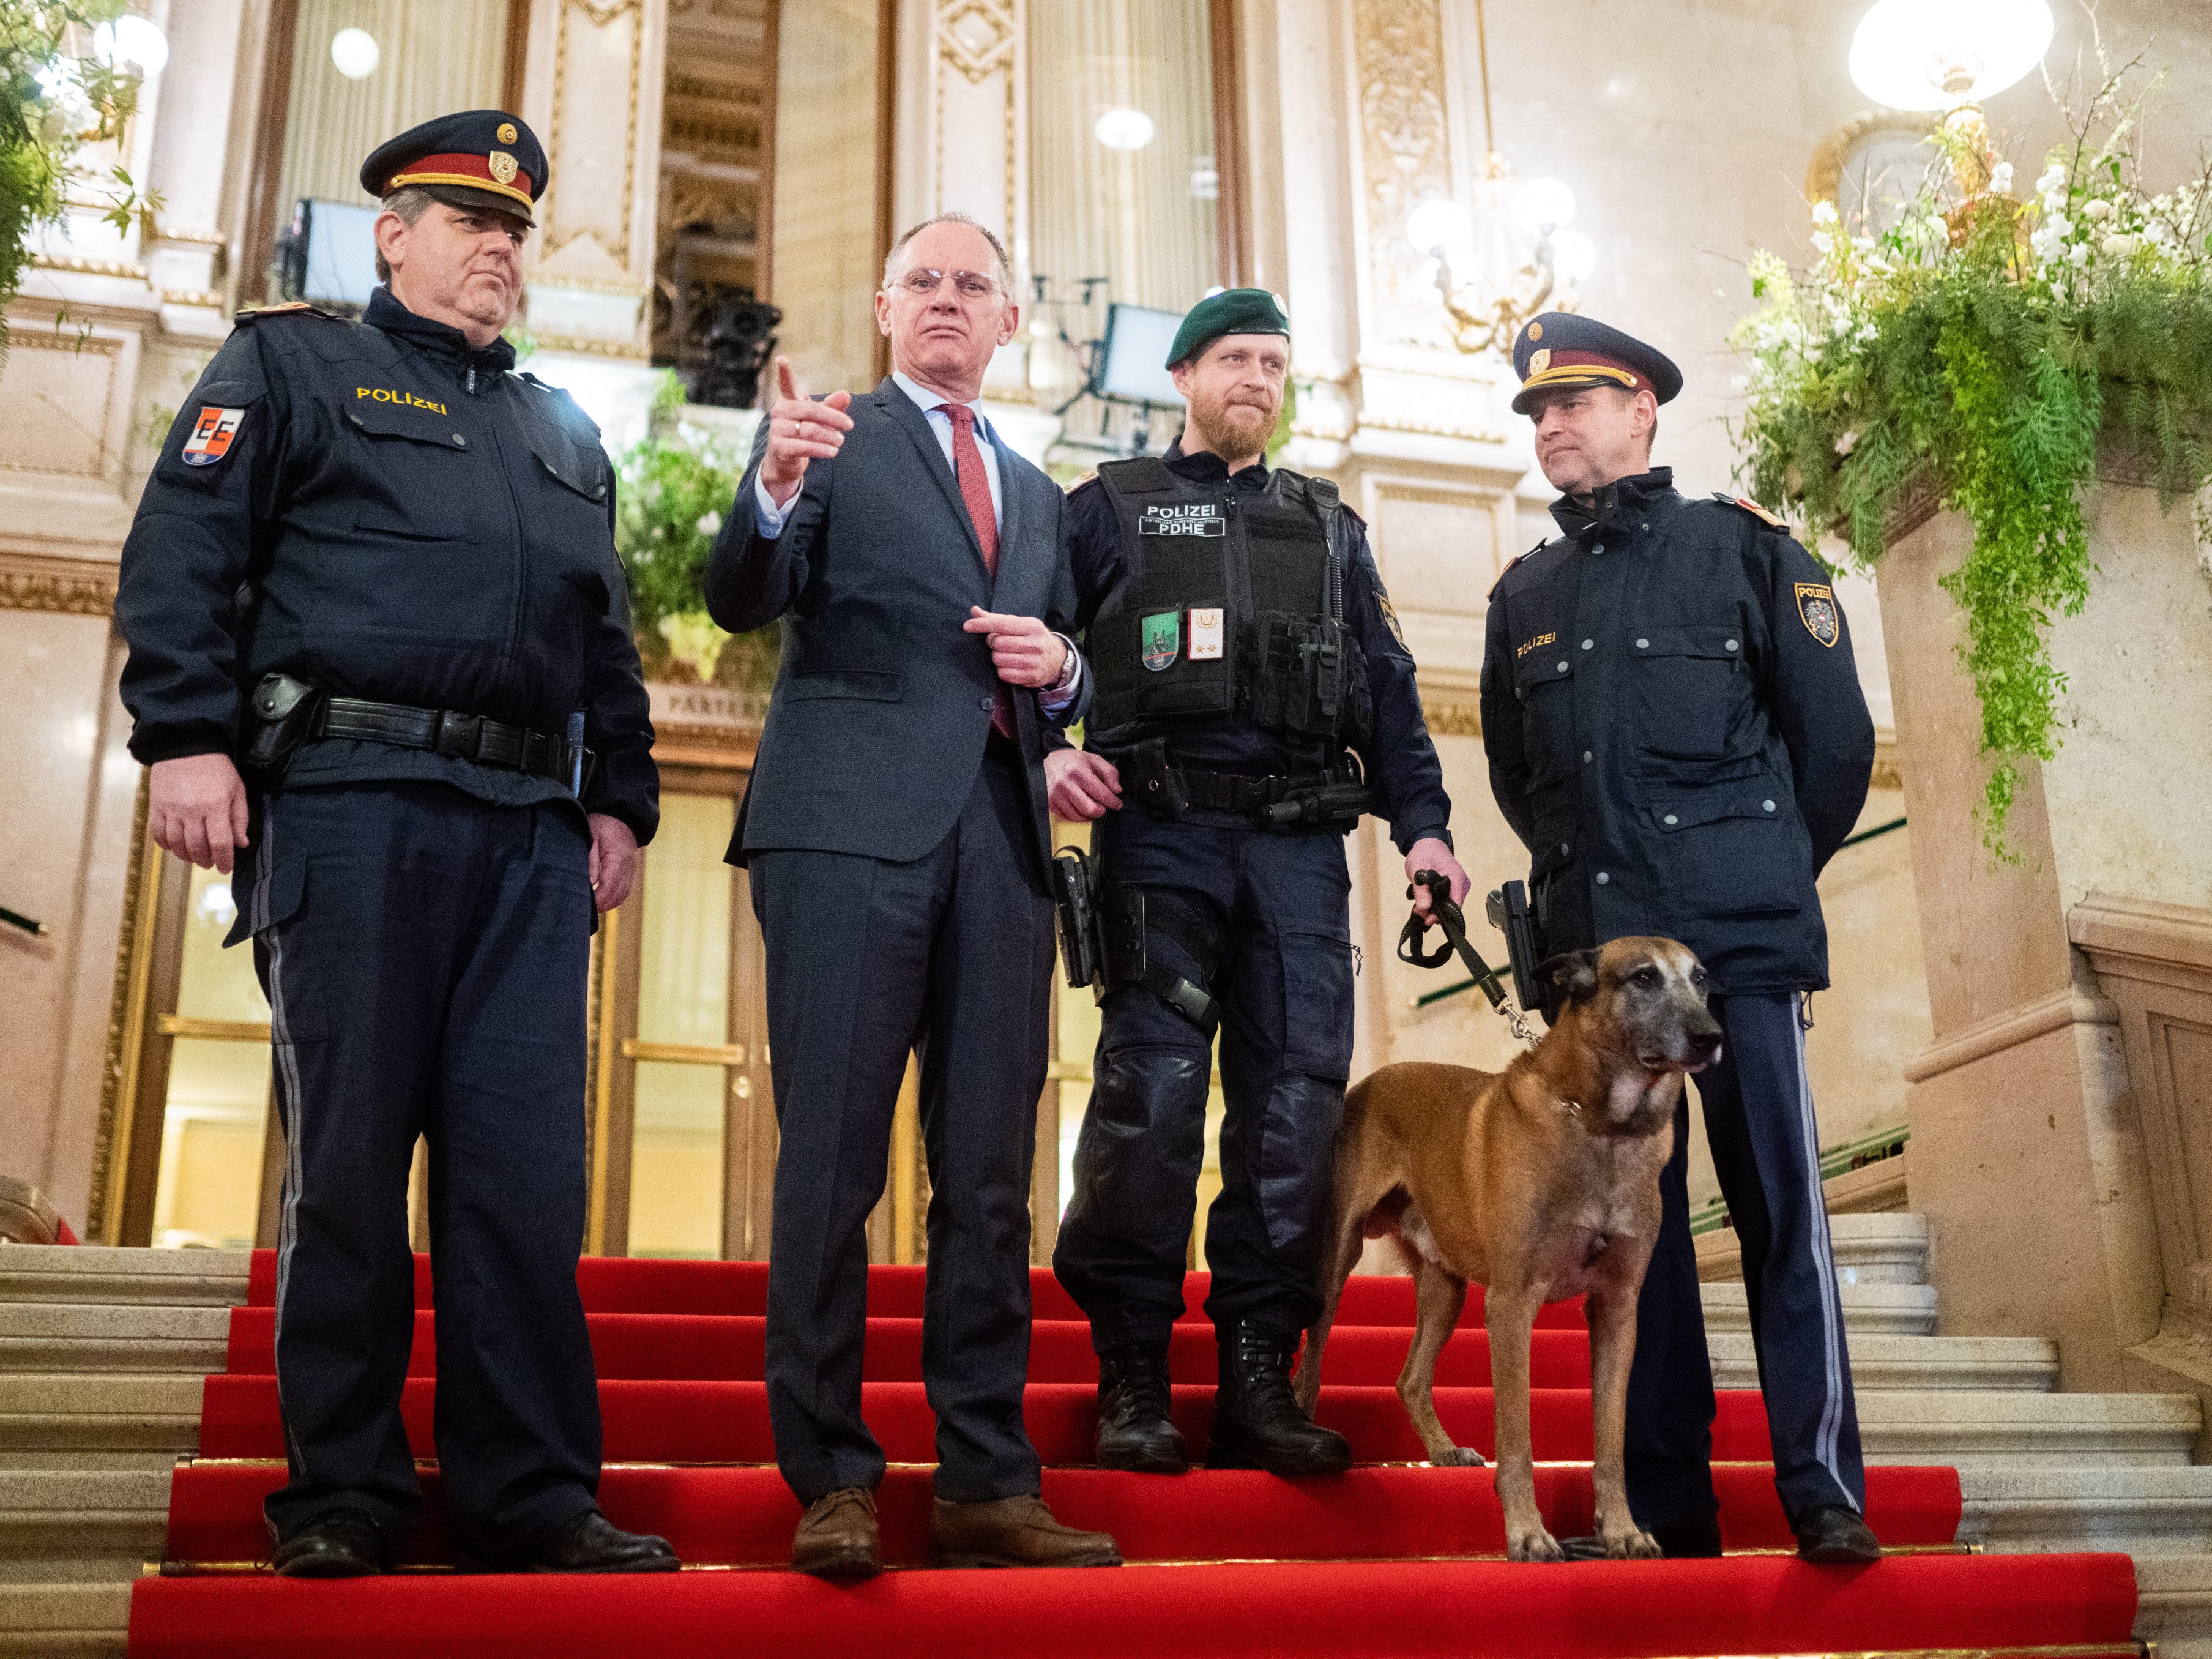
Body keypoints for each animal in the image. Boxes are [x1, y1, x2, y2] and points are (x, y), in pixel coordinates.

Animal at [1292, 942, 1725, 1566]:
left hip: (1445, 1290)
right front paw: (1526, 1533)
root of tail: (1374, 1077)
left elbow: (1611, 1441)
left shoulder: (1617, 1312)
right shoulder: (1512, 1307)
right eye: (1643, 977)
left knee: (1410, 1379)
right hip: (1339, 1259)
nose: (1710, 1036)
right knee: (1312, 1357)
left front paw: (1621, 1530)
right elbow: (1517, 1439)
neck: (1603, 1126)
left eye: (1701, 979)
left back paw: (1444, 1450)